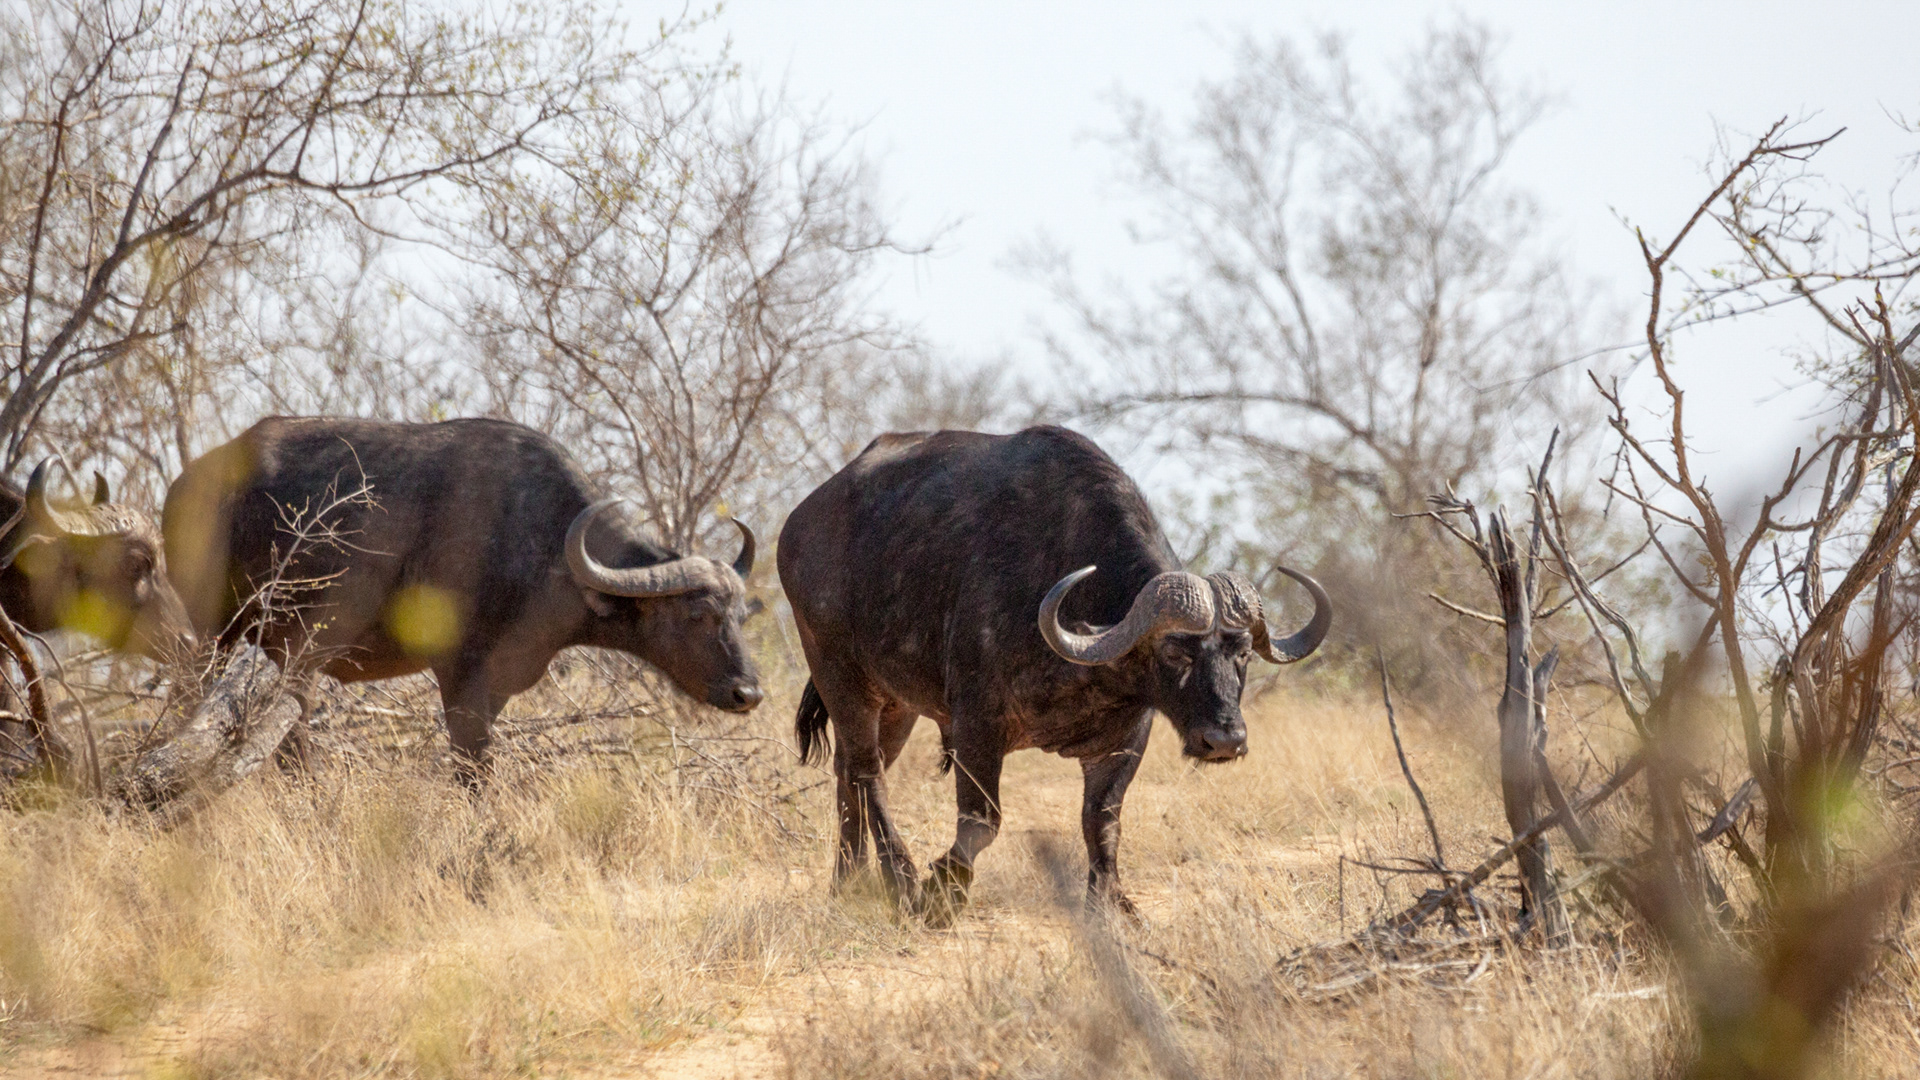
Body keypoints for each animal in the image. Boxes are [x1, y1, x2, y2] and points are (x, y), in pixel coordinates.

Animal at [163, 417, 764, 779]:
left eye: (740, 616)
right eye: (697, 613)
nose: (749, 693)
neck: (542, 540)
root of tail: (186, 483)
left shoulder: (498, 682)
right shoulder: (459, 672)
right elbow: (473, 768)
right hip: (222, 634)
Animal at [780, 426, 1331, 924]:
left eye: (1243, 652)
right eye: (1175, 651)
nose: (1225, 740)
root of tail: (798, 525)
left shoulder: (1123, 741)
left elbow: (1102, 821)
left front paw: (1110, 903)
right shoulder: (976, 725)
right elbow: (982, 822)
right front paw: (941, 892)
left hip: (897, 706)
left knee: (849, 773)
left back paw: (847, 883)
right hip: (840, 676)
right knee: (867, 773)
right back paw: (900, 879)